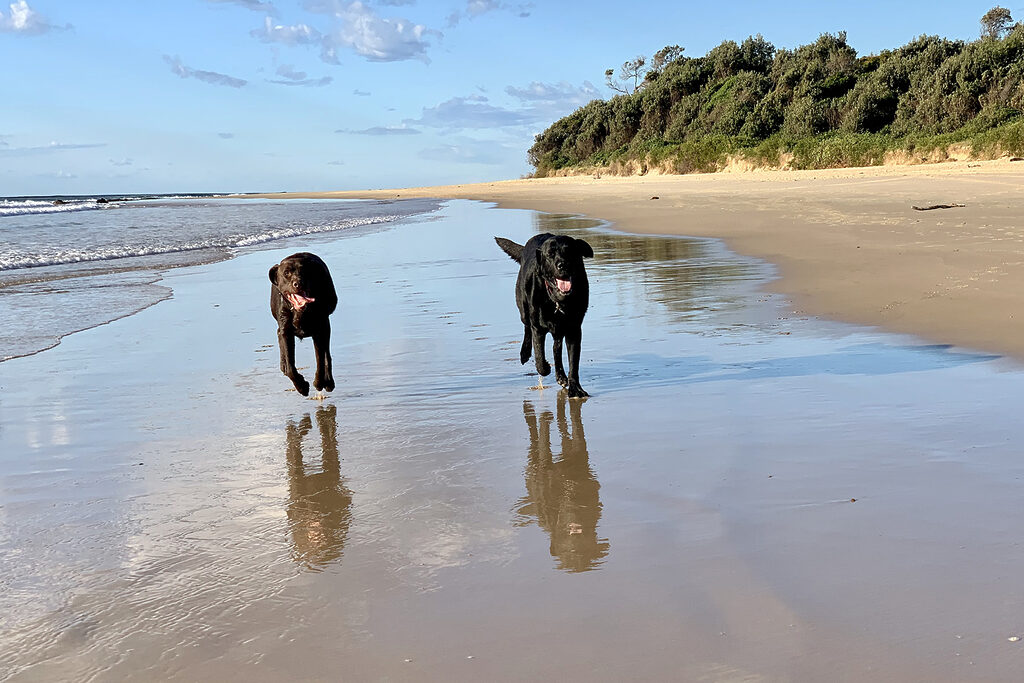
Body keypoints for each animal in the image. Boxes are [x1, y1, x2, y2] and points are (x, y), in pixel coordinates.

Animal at [270, 253, 337, 397]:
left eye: (304, 272)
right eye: (286, 273)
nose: (298, 283)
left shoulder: (319, 329)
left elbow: (320, 360)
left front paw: (318, 382)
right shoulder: (286, 331)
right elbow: (290, 367)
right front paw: (301, 386)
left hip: (326, 327)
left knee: (327, 355)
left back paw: (329, 382)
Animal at [493, 232, 593, 397]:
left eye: (569, 251)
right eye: (550, 255)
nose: (563, 265)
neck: (557, 301)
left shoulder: (573, 330)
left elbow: (573, 363)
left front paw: (575, 388)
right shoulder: (538, 328)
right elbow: (539, 358)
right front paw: (545, 367)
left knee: (556, 348)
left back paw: (561, 376)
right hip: (524, 309)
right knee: (527, 328)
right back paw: (525, 353)